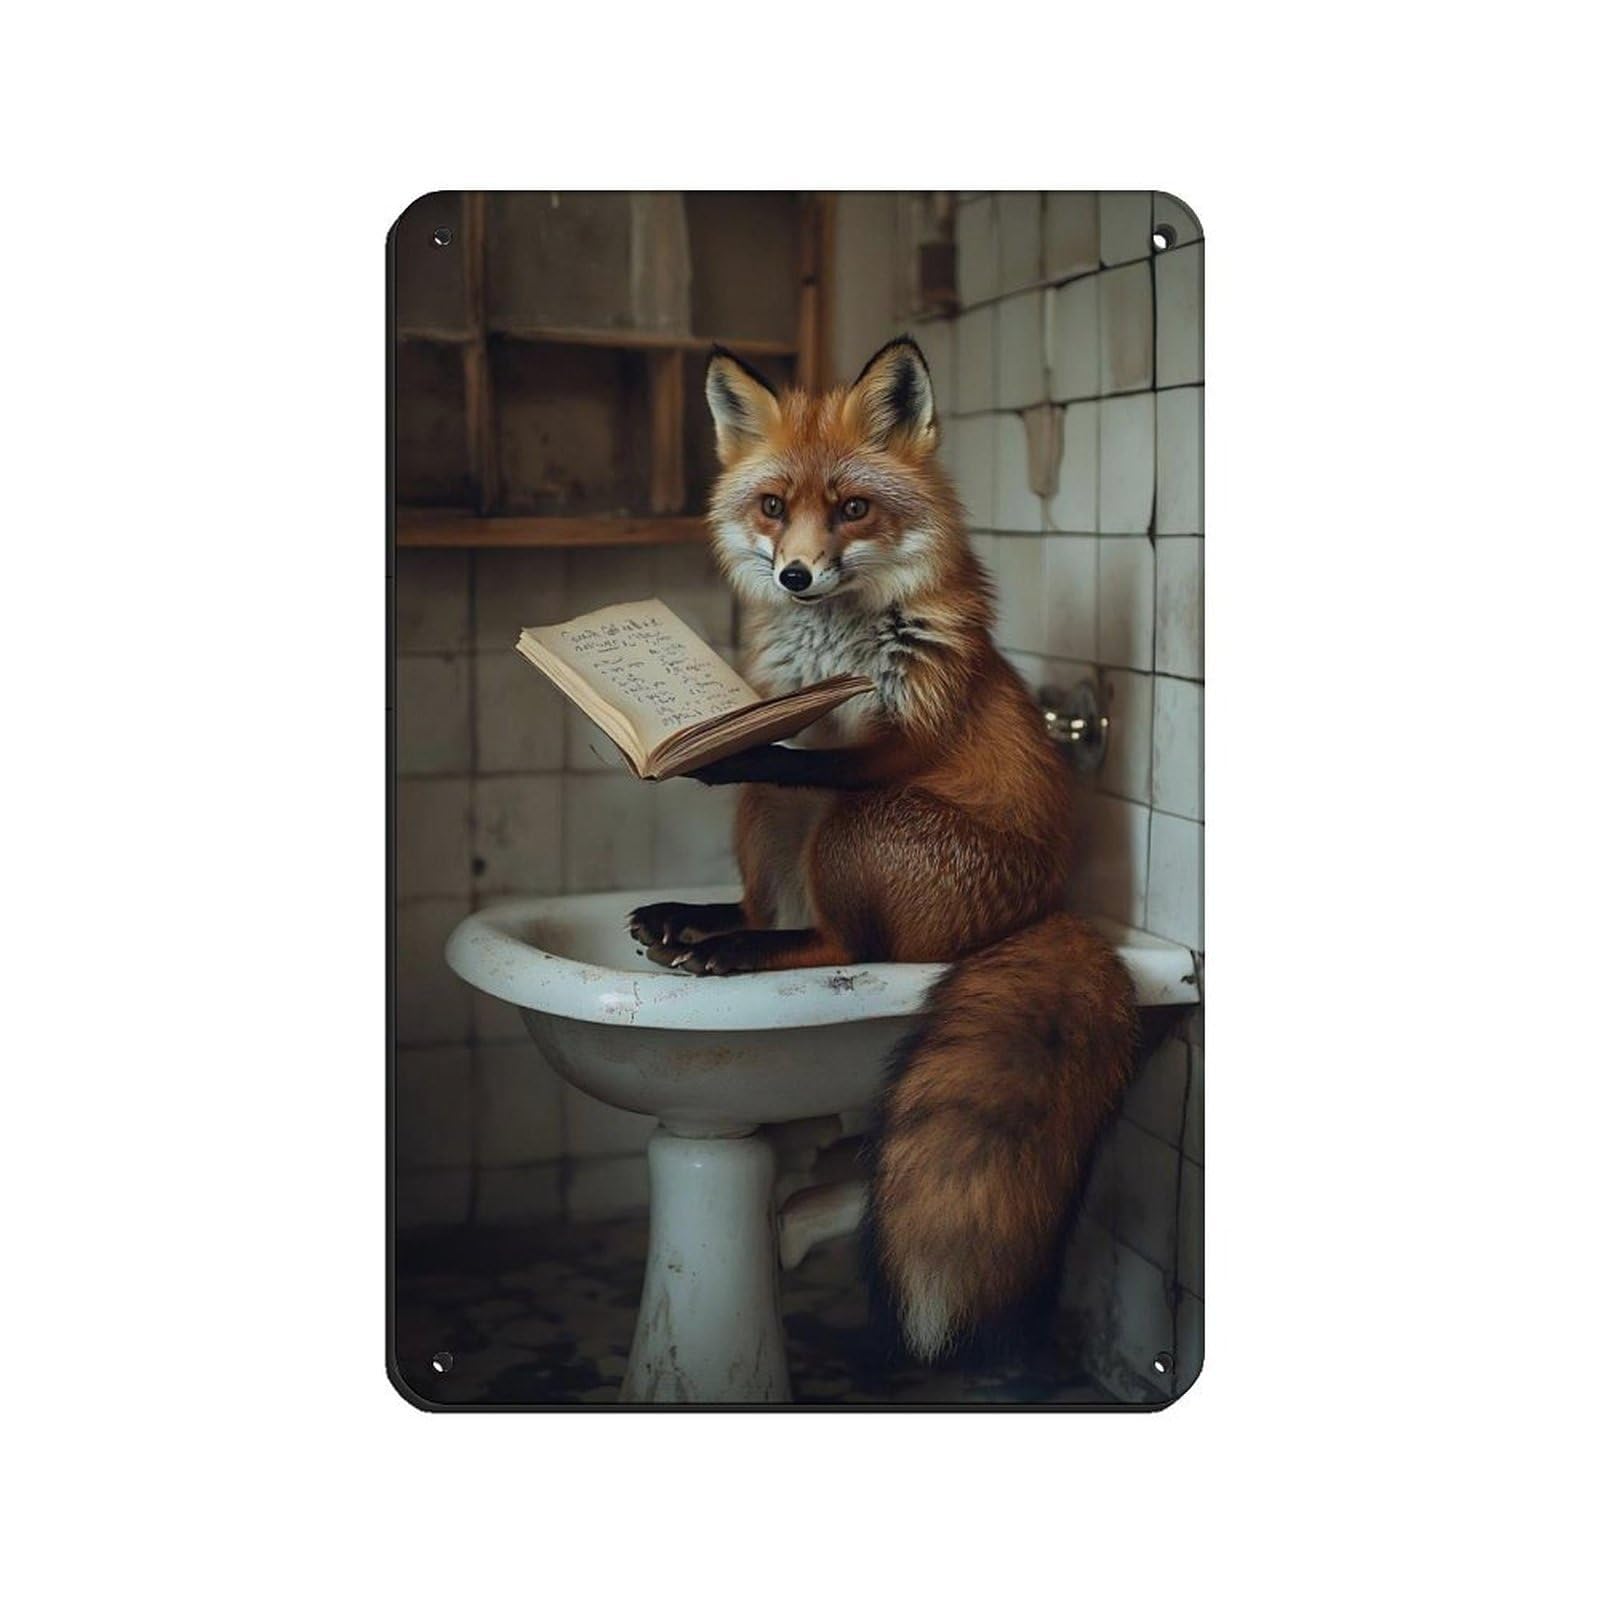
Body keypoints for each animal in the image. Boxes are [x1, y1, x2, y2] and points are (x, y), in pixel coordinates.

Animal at [628, 336, 1137, 1363]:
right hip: (768, 827)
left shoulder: (903, 741)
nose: (795, 576)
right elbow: (787, 761)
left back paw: (733, 952)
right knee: (770, 904)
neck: (834, 652)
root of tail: (1044, 909)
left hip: (859, 828)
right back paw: (698, 925)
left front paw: (738, 746)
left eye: (854, 509)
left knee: (845, 943)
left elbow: (803, 759)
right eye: (773, 507)